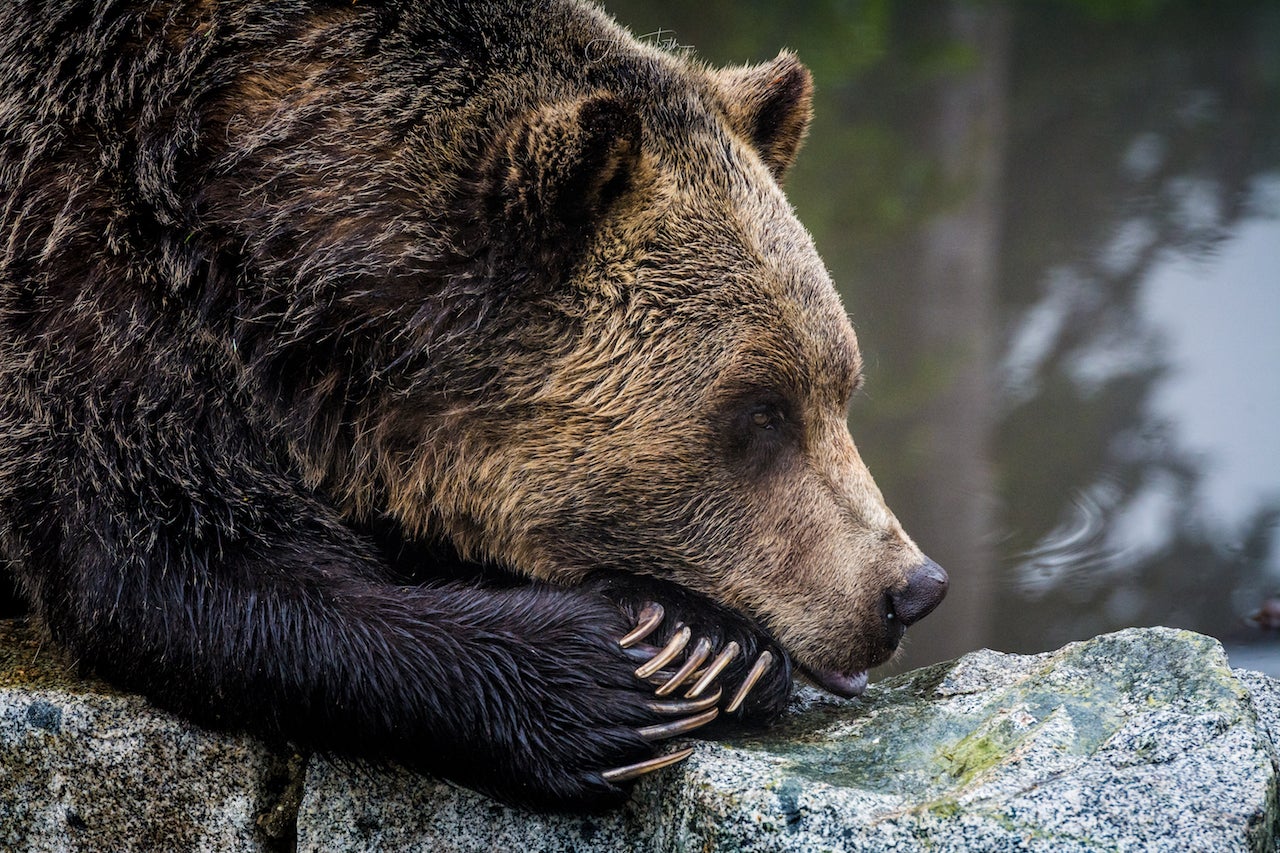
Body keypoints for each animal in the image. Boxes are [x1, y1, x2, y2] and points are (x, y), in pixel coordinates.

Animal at [0, 0, 942, 809]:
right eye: (760, 410)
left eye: (840, 387)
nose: (909, 589)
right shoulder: (82, 284)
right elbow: (182, 568)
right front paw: (608, 678)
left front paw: (708, 642)